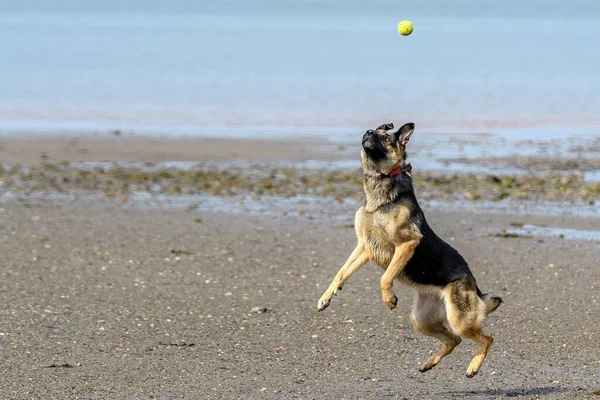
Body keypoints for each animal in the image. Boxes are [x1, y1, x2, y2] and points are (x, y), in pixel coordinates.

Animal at [318, 120, 502, 376]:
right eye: (372, 131)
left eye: (386, 138)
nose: (368, 132)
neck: (381, 181)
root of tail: (474, 285)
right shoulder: (364, 246)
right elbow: (341, 272)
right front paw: (326, 297)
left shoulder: (406, 244)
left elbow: (385, 277)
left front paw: (388, 298)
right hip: (421, 320)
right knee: (454, 340)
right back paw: (429, 363)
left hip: (458, 320)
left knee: (486, 338)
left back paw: (473, 366)